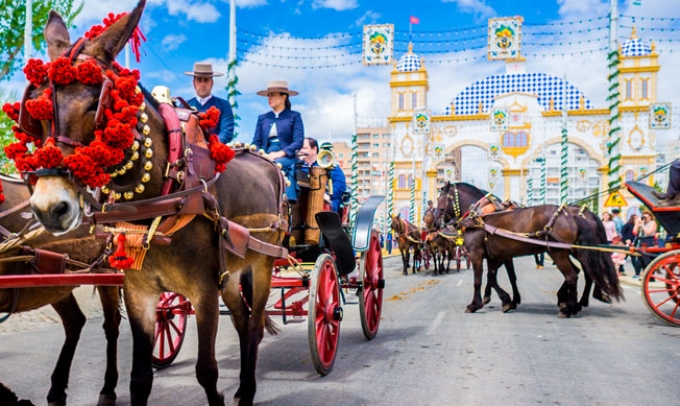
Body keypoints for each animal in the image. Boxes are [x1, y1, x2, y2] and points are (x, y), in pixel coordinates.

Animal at [0, 175, 119, 406]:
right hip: (55, 282)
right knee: (74, 322)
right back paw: (57, 390)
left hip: (108, 271)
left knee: (111, 326)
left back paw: (108, 388)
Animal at [23, 2, 284, 402]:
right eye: (36, 111)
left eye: (96, 104)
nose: (50, 207)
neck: (159, 200)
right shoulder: (139, 292)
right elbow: (140, 377)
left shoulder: (204, 292)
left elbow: (207, 371)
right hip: (231, 276)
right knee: (242, 322)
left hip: (262, 265)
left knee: (253, 326)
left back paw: (248, 389)